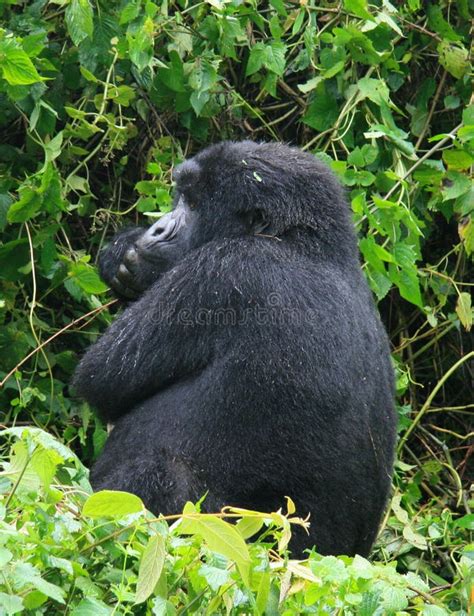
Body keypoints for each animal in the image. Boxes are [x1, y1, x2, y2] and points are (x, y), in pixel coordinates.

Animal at [71, 141, 396, 560]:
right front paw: (122, 254)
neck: (308, 245)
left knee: (159, 473)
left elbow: (101, 378)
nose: (158, 228)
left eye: (194, 204)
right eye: (181, 196)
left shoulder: (222, 269)